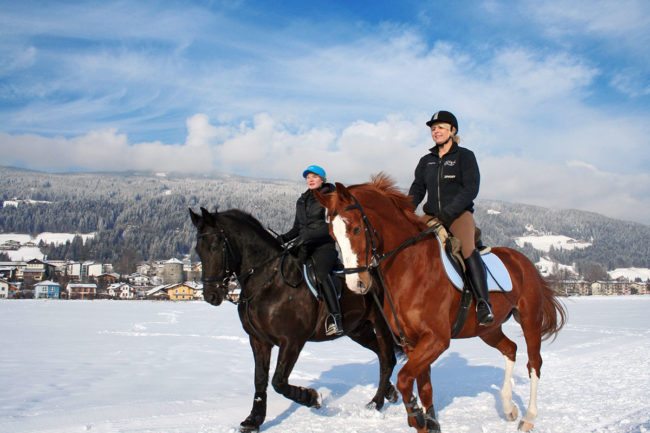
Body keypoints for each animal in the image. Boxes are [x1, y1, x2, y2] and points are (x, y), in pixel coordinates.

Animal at [190, 208, 398, 430]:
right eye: (198, 249)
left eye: (215, 246)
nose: (211, 295)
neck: (269, 281)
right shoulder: (259, 340)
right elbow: (260, 379)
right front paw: (254, 420)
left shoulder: (292, 341)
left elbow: (278, 381)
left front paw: (312, 398)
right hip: (358, 329)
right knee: (380, 353)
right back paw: (390, 393)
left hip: (381, 324)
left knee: (388, 358)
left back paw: (376, 403)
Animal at [316, 175, 564, 432]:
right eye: (333, 235)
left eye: (356, 229)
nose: (357, 283)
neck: (409, 268)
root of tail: (524, 262)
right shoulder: (412, 342)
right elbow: (423, 385)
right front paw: (428, 420)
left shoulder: (436, 339)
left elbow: (404, 379)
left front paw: (416, 414)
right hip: (488, 329)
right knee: (511, 349)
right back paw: (508, 407)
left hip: (529, 319)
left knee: (534, 363)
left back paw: (529, 417)